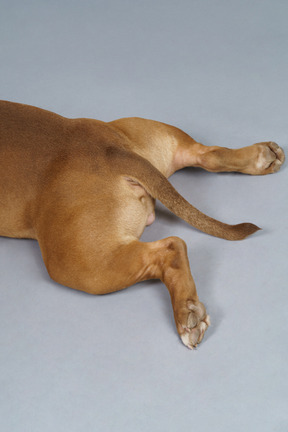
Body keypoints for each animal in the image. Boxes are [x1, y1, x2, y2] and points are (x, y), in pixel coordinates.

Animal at [0, 100, 284, 348]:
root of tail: (111, 151)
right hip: (147, 132)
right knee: (206, 154)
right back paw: (262, 156)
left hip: (79, 262)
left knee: (171, 246)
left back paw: (186, 316)